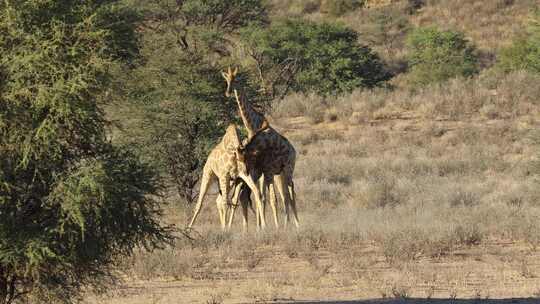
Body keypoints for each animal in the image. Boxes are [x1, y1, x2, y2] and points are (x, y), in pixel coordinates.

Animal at [221, 67, 302, 228]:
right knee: (285, 195)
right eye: (226, 79)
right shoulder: (259, 170)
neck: (253, 126)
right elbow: (261, 196)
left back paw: (295, 224)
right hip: (279, 174)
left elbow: (265, 197)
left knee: (290, 193)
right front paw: (260, 226)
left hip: (288, 168)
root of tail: (294, 150)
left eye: (236, 79)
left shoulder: (262, 169)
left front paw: (266, 226)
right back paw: (287, 223)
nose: (228, 92)